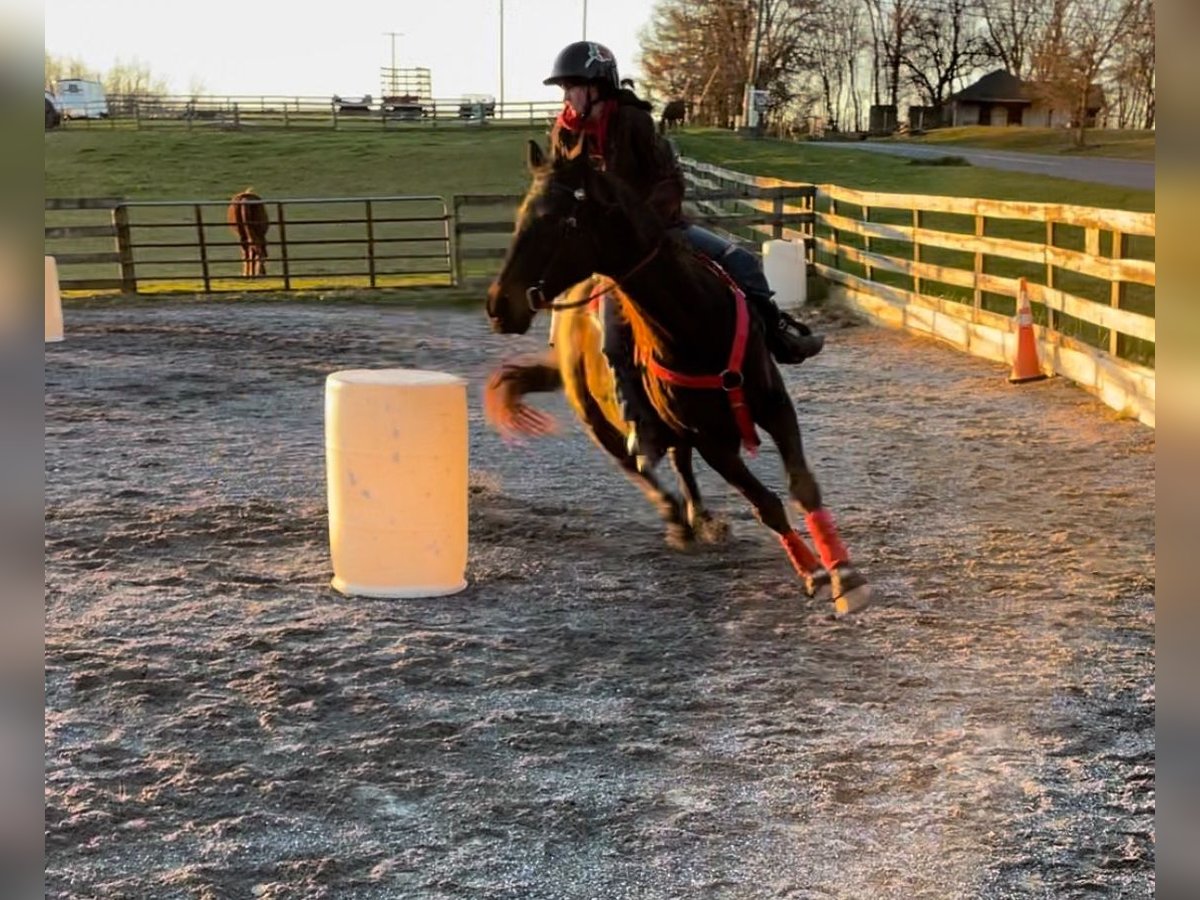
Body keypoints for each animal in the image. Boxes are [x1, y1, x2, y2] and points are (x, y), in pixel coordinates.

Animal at [484, 142, 873, 619]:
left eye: (556, 221)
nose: (499, 305)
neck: (694, 323)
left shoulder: (775, 406)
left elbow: (803, 486)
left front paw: (846, 576)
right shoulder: (712, 441)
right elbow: (766, 504)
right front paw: (814, 574)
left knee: (678, 462)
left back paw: (701, 518)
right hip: (600, 423)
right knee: (639, 467)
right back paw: (677, 520)